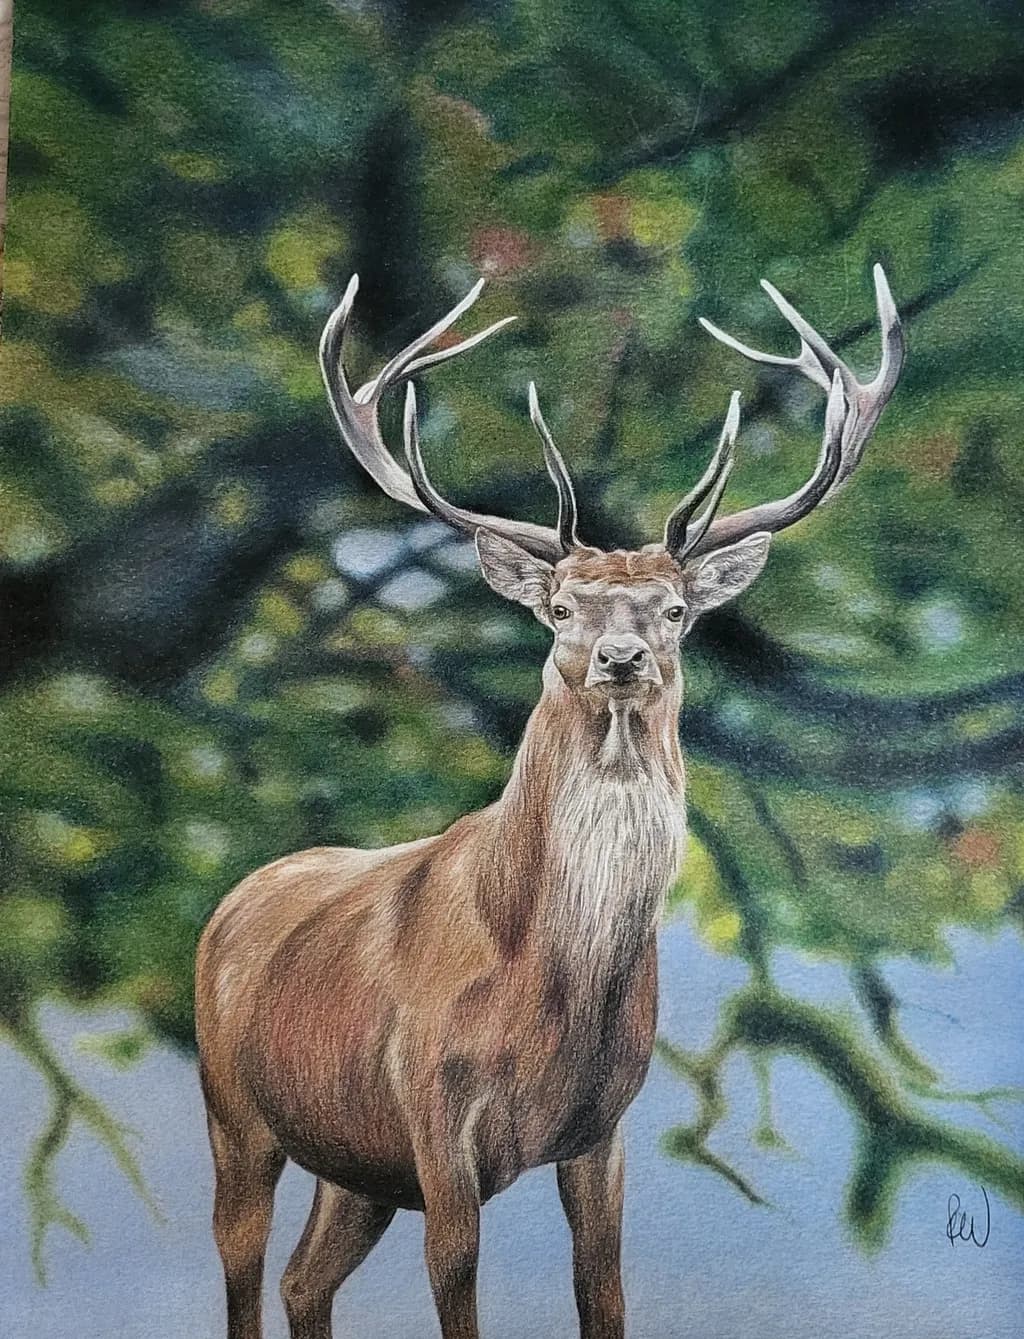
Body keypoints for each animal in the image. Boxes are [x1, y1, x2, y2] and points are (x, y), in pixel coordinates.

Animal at [195, 262, 903, 1339]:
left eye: (675, 608)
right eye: (561, 606)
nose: (620, 657)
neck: (547, 984)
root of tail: (231, 901)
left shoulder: (602, 1126)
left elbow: (603, 1288)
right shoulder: (436, 1117)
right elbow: (457, 1288)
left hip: (353, 1158)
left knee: (303, 1279)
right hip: (236, 1111)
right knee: (241, 1266)